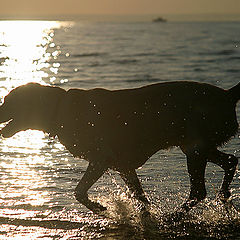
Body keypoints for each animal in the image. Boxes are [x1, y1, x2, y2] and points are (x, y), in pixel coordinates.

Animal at [0, 82, 239, 212]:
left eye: (7, 100)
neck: (59, 108)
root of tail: (227, 94)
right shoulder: (124, 167)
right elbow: (140, 198)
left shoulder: (101, 159)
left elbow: (79, 192)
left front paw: (99, 208)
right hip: (199, 147)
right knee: (230, 161)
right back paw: (223, 195)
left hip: (195, 147)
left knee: (198, 191)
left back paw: (175, 217)